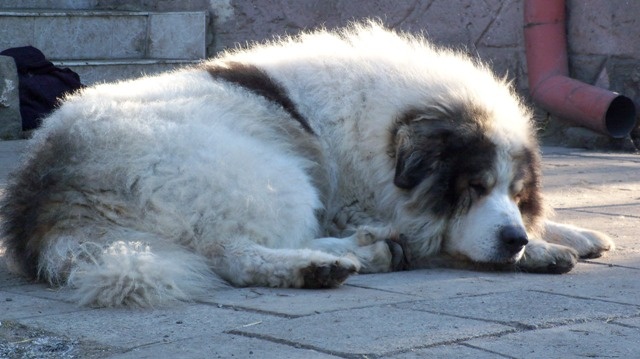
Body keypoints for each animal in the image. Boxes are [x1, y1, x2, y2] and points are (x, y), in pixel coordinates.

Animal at [0, 21, 612, 306]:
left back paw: (365, 253)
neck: (384, 133)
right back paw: (334, 263)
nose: (513, 238)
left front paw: (571, 232)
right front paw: (542, 250)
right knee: (234, 254)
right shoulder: (371, 203)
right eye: (472, 187)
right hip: (270, 177)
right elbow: (439, 239)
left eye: (516, 192)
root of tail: (48, 183)